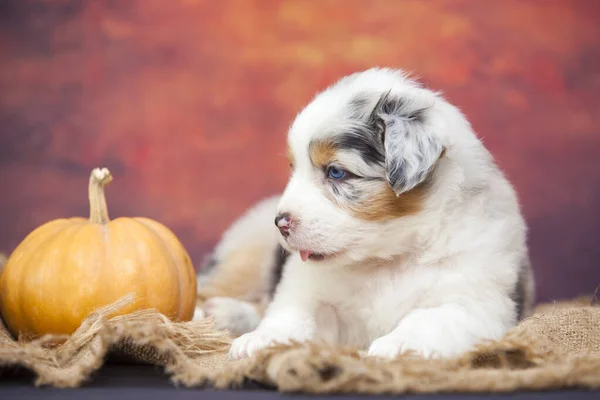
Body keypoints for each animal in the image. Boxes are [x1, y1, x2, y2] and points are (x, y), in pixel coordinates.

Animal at [193, 67, 536, 360]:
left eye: (336, 172)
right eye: (294, 167)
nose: (280, 223)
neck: (387, 259)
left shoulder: (477, 301)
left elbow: (431, 318)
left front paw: (399, 345)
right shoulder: (310, 288)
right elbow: (294, 311)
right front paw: (263, 340)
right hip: (246, 253)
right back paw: (215, 313)